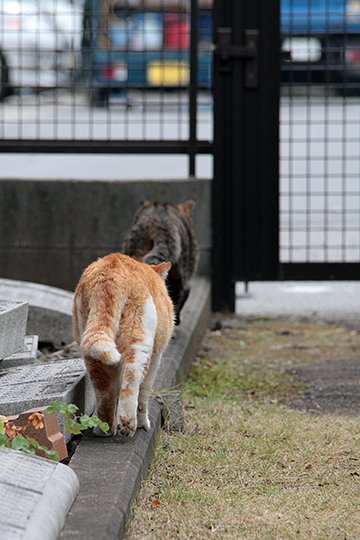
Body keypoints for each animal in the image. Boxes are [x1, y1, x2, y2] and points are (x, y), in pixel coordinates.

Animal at [72, 251, 174, 436]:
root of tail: (111, 271)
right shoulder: (156, 357)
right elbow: (144, 395)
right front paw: (144, 424)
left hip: (93, 351)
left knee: (104, 393)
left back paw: (104, 429)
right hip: (139, 341)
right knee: (132, 378)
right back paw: (128, 425)